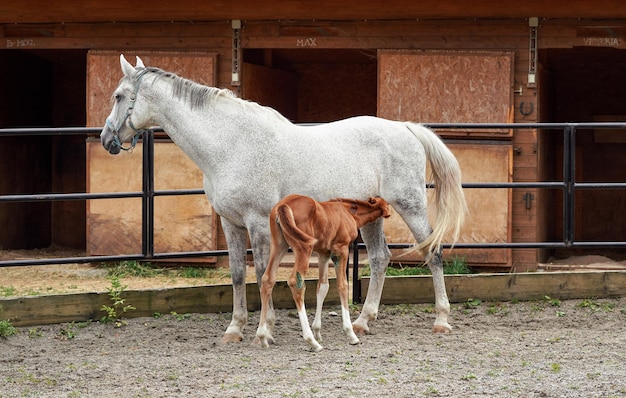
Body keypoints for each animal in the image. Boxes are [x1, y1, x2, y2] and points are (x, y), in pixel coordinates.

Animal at [100, 55, 466, 342]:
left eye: (119, 96)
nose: (106, 139)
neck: (231, 143)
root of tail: (404, 128)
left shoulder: (258, 221)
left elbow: (264, 272)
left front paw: (265, 328)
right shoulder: (231, 223)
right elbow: (237, 274)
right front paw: (235, 328)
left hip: (411, 205)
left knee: (432, 253)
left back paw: (441, 320)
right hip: (371, 214)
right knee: (379, 259)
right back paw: (363, 322)